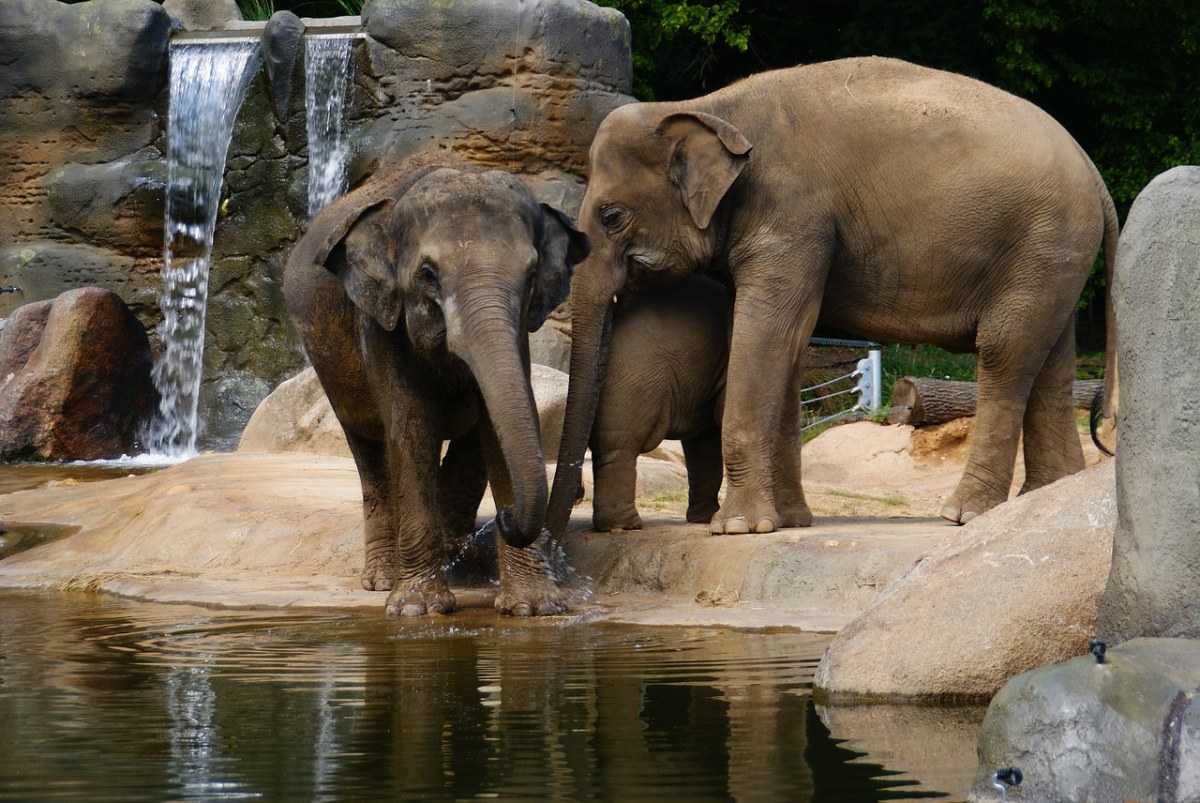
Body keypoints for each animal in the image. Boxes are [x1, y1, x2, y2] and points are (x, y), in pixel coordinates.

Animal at [283, 153, 588, 619]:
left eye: (532, 274)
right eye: (428, 274)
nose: (507, 515)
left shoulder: (517, 333)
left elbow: (497, 428)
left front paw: (535, 607)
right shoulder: (381, 324)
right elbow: (412, 427)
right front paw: (416, 609)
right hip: (330, 369)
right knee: (369, 453)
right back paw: (382, 578)